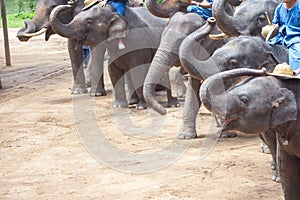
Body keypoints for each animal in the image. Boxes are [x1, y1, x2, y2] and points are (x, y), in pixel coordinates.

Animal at [50, 3, 179, 108]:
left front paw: (142, 106)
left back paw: (171, 104)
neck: (112, 11)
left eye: (89, 21)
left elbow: (137, 70)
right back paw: (133, 101)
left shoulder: (139, 42)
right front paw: (119, 106)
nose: (68, 4)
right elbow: (113, 70)